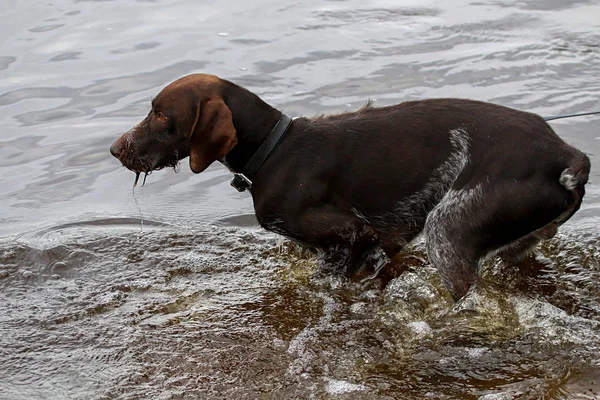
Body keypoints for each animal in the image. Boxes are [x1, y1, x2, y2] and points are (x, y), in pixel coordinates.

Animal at [109, 74, 592, 300]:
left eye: (161, 114)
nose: (115, 149)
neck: (274, 149)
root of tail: (564, 154)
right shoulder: (380, 246)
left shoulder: (354, 237)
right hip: (516, 243)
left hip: (449, 234)